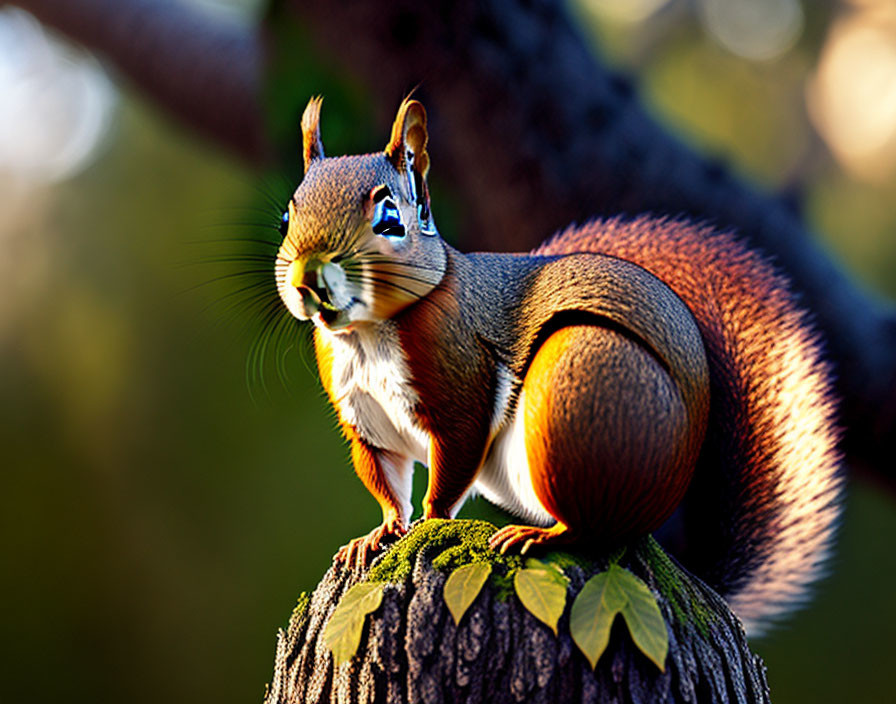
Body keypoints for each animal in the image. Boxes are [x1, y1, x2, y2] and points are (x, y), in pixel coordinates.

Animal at [272, 96, 840, 636]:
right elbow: (385, 477)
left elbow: (453, 464)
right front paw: (381, 532)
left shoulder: (461, 388)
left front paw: (431, 525)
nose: (308, 279)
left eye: (390, 221)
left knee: (592, 533)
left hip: (576, 398)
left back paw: (538, 536)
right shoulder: (365, 420)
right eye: (286, 219)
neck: (366, 336)